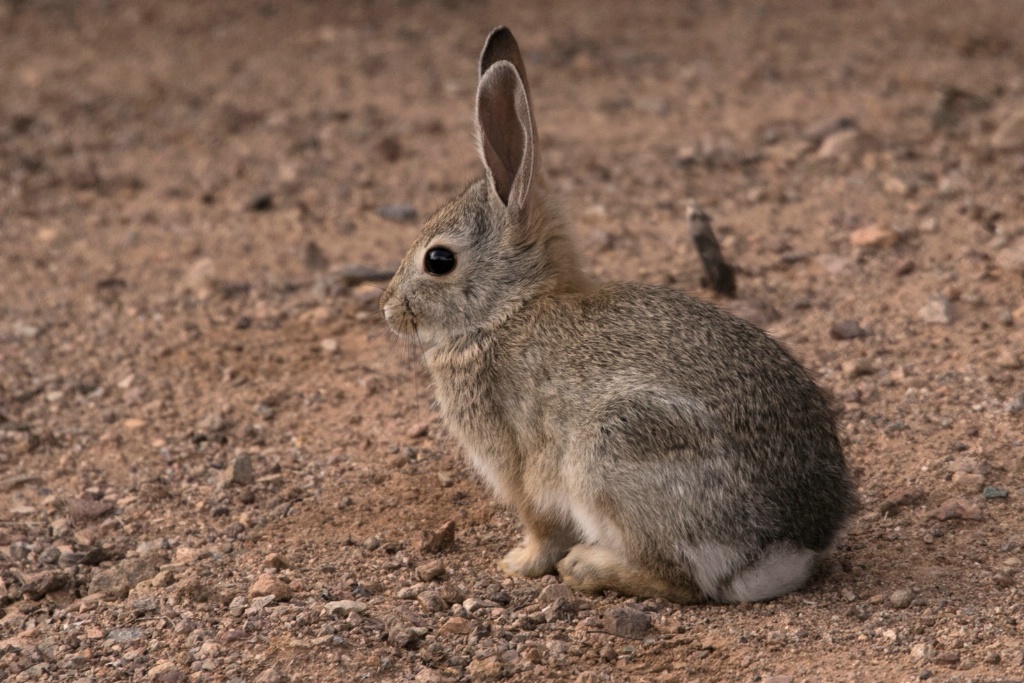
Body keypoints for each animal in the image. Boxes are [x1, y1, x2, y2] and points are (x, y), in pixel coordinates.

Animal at [380, 26, 860, 602]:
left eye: (438, 261)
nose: (389, 309)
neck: (507, 310)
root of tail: (787, 545)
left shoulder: (519, 466)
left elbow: (540, 527)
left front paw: (517, 564)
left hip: (613, 452)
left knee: (679, 580)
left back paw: (588, 567)